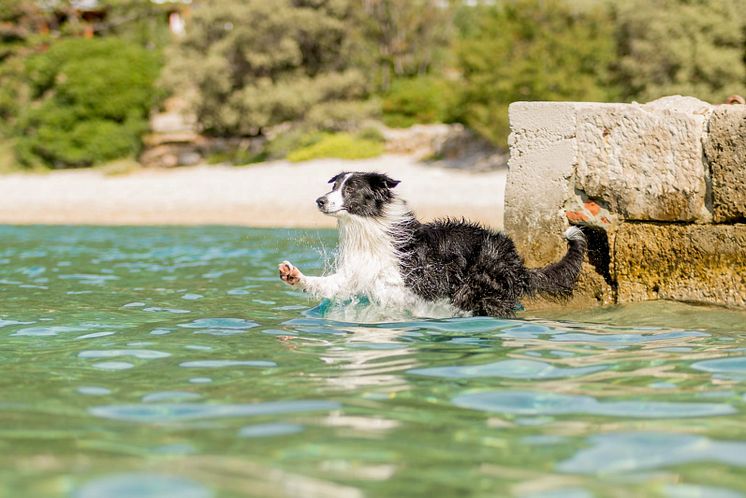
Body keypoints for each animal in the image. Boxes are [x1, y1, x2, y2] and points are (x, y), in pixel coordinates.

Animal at [276, 173, 584, 318]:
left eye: (350, 189)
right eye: (334, 185)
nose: (319, 200)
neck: (371, 229)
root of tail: (517, 262)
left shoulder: (415, 283)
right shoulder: (355, 274)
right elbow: (331, 284)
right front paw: (293, 274)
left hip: (481, 286)